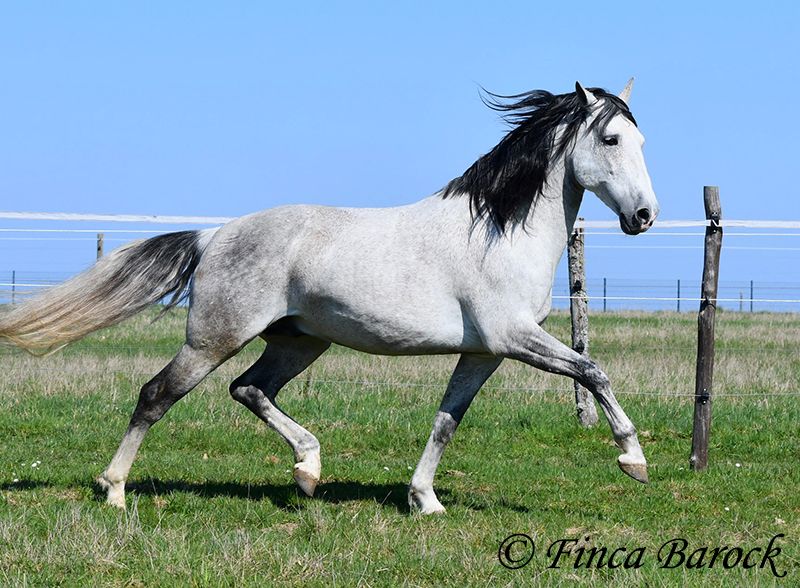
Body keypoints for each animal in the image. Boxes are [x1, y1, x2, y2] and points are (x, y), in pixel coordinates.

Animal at [0, 80, 658, 514]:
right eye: (610, 138)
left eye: (641, 140)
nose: (644, 217)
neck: (497, 232)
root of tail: (216, 235)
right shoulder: (514, 337)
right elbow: (593, 371)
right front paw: (633, 460)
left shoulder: (483, 351)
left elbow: (447, 421)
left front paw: (425, 501)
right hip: (214, 337)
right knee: (156, 395)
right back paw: (113, 490)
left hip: (299, 342)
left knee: (249, 389)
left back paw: (308, 471)